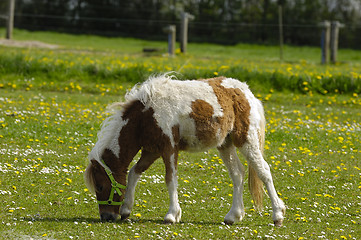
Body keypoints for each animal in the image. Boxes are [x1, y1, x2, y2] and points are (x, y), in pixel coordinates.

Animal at [84, 74, 284, 226]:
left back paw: (278, 215)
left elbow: (170, 179)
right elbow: (134, 172)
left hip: (246, 140)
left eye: (100, 186)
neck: (146, 115)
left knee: (263, 171)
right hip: (225, 144)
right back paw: (233, 216)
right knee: (237, 174)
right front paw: (126, 210)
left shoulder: (169, 148)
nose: (106, 216)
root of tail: (247, 93)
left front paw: (172, 215)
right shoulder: (151, 151)